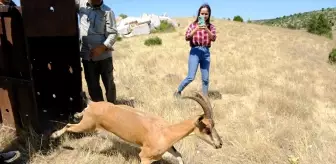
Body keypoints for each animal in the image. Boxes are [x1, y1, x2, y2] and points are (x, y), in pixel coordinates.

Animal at [50, 92, 223, 164]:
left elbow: (180, 156)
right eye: (207, 128)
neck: (165, 131)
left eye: (214, 125)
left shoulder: (169, 149)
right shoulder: (144, 157)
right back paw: (54, 136)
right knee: (69, 125)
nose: (219, 144)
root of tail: (92, 104)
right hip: (86, 127)